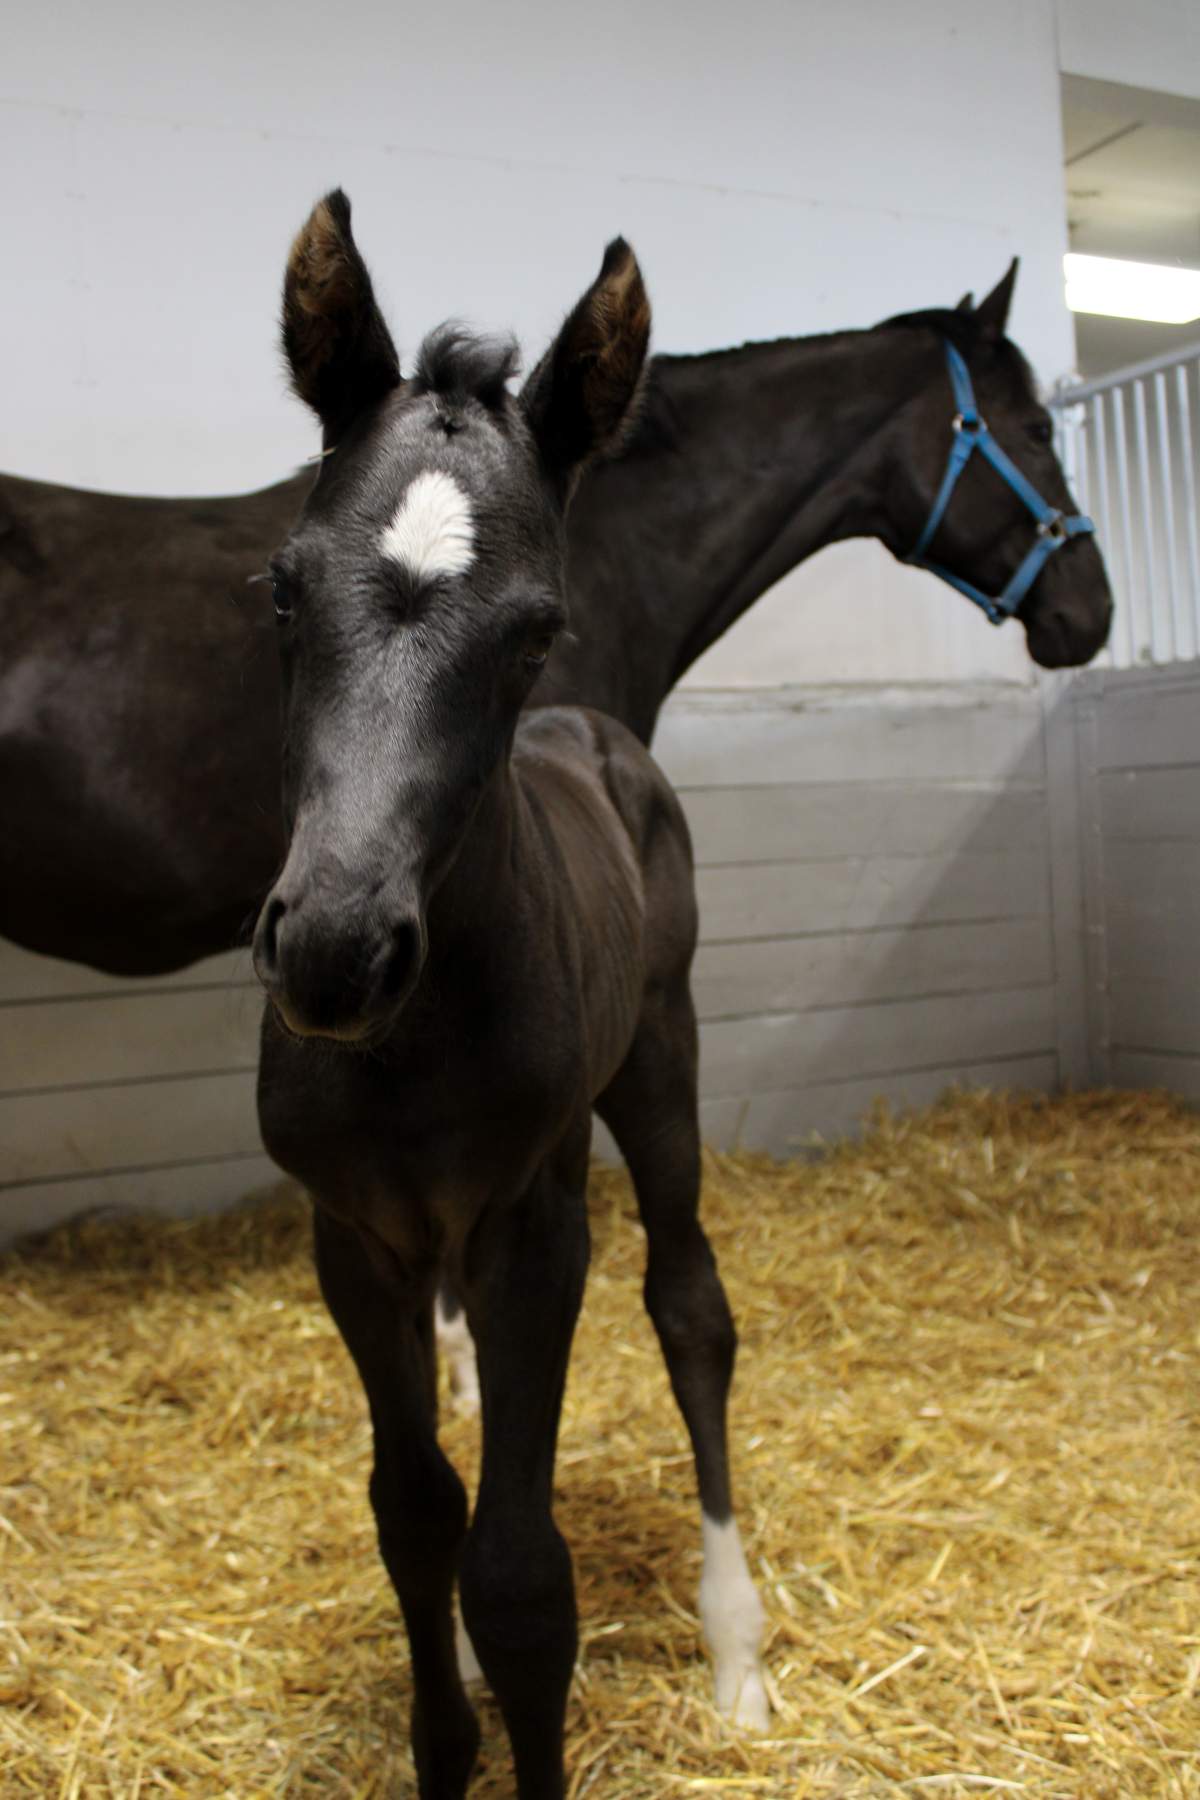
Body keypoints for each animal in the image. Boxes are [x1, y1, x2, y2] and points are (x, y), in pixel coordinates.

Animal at [252, 190, 766, 1800]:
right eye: (279, 589)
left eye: (535, 627)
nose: (336, 950)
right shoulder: (353, 1235)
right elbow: (418, 1514)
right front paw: (443, 1740)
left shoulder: (532, 1225)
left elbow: (526, 1575)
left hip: (659, 1062)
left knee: (691, 1309)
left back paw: (738, 1648)